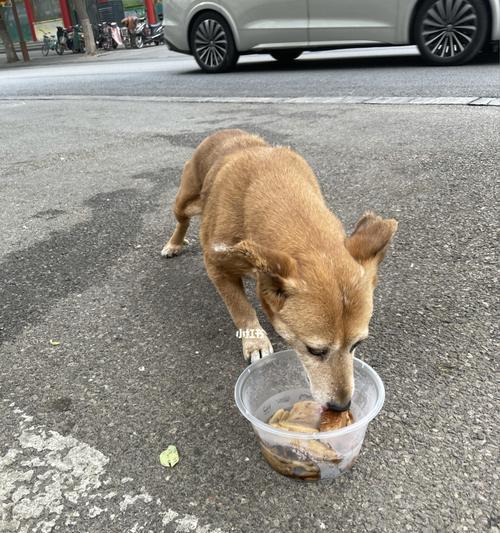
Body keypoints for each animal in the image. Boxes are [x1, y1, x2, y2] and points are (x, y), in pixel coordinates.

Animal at [162, 130, 396, 412]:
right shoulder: (215, 264)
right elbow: (241, 308)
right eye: (314, 350)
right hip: (184, 198)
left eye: (357, 344)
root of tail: (225, 132)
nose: (341, 407)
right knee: (181, 219)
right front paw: (256, 342)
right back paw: (174, 244)